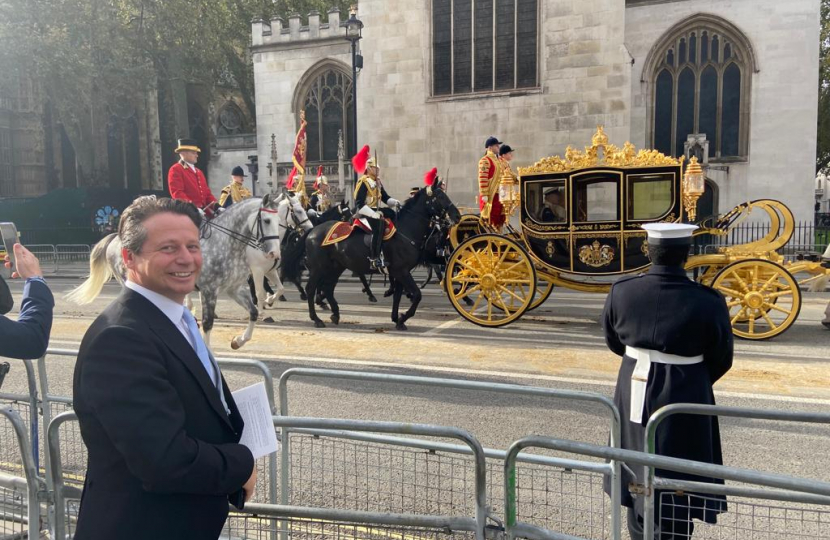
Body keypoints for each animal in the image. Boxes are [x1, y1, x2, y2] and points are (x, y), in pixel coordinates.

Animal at [306, 185, 462, 330]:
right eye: (440, 196)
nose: (457, 216)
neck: (406, 231)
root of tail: (313, 230)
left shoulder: (400, 272)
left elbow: (398, 296)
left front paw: (397, 319)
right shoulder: (401, 271)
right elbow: (417, 294)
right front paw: (403, 317)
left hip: (336, 267)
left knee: (328, 288)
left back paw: (335, 314)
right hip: (319, 268)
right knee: (311, 288)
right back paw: (317, 319)